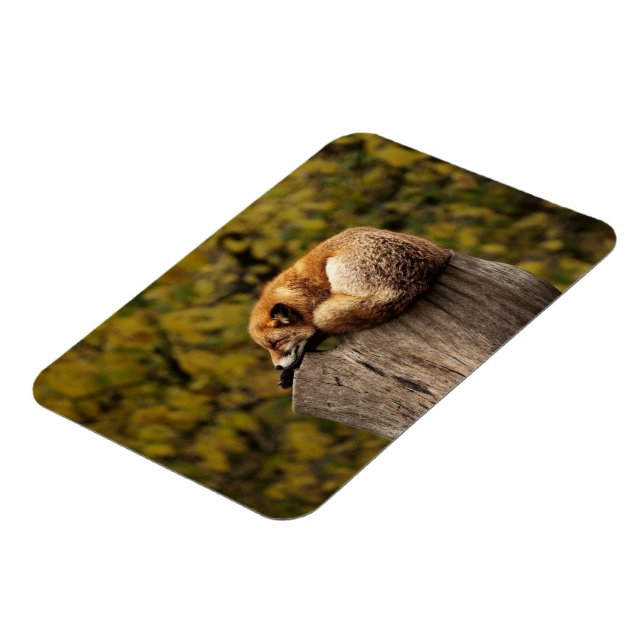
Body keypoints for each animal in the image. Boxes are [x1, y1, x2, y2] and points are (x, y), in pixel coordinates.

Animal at [248, 227, 452, 387]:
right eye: (267, 348)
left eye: (276, 344)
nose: (277, 367)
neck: (301, 291)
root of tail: (416, 279)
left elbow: (312, 340)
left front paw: (289, 374)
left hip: (333, 266)